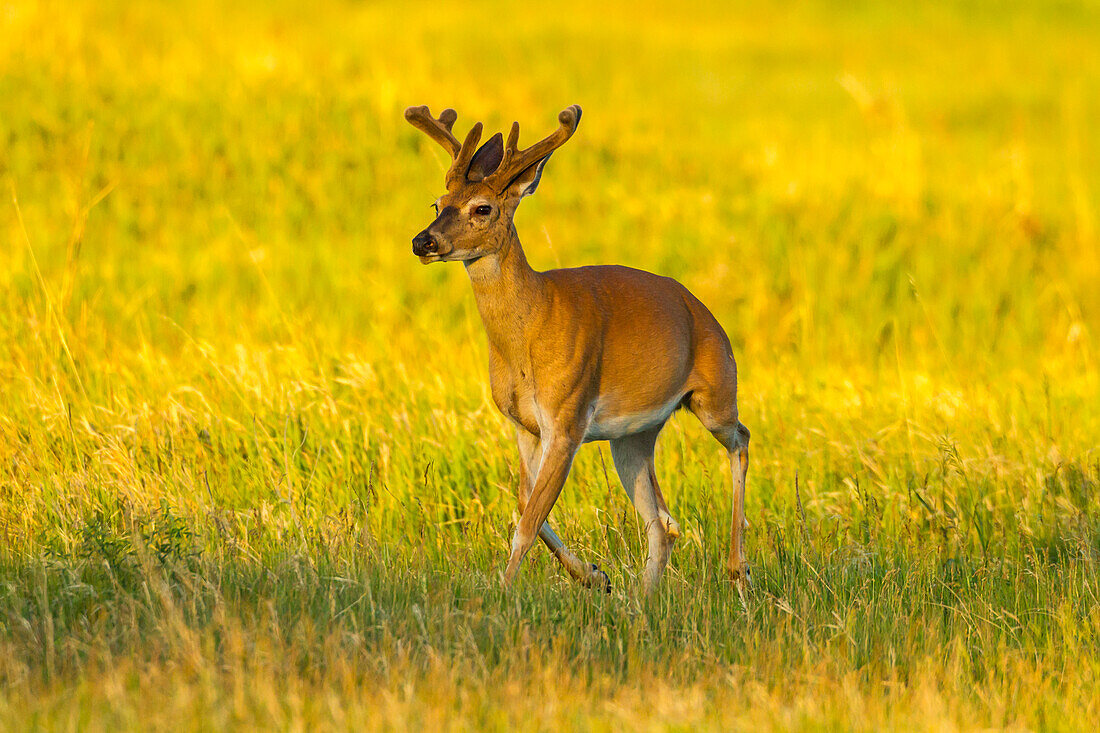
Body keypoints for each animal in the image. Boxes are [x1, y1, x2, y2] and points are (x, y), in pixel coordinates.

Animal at [409, 104, 752, 594]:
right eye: (437, 204)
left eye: (482, 208)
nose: (424, 241)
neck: (530, 327)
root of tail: (705, 312)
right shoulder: (524, 424)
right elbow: (524, 502)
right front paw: (594, 575)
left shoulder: (567, 417)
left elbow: (529, 521)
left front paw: (504, 591)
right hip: (634, 435)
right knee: (663, 523)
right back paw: (641, 597)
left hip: (715, 393)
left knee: (740, 439)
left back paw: (737, 569)